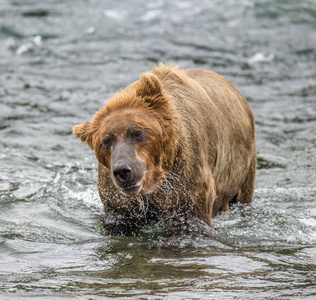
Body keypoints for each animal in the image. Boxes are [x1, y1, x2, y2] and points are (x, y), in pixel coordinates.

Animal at [73, 62, 256, 232]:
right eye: (105, 141)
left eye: (137, 132)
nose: (123, 171)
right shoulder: (116, 200)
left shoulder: (185, 181)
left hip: (244, 167)